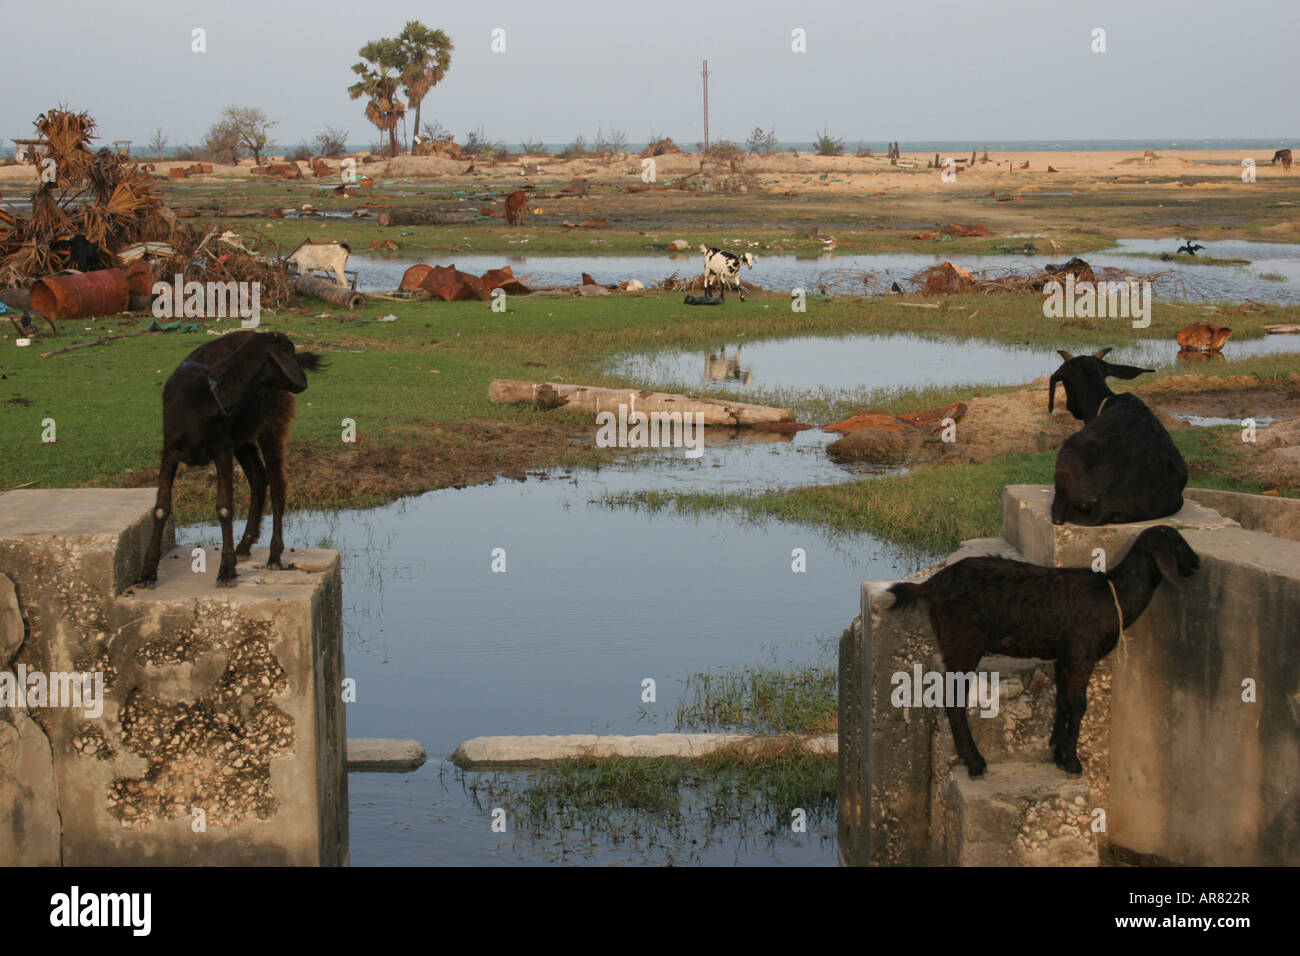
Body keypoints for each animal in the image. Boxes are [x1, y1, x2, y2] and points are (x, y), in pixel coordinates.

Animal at [139, 331, 325, 589]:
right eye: (288, 351)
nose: (303, 380)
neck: (207, 395)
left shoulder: (222, 450)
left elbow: (225, 507)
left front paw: (226, 570)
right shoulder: (169, 452)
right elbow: (160, 509)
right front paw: (148, 572)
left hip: (271, 424)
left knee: (277, 483)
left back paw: (274, 556)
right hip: (243, 439)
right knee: (258, 478)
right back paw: (245, 544)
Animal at [889, 525, 1200, 777]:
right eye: (1177, 544)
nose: (1197, 563)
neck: (1114, 594)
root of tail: (932, 583)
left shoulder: (1065, 656)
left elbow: (1063, 701)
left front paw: (1057, 751)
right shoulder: (1083, 654)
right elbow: (1079, 704)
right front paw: (1072, 762)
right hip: (963, 643)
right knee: (954, 701)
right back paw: (975, 763)